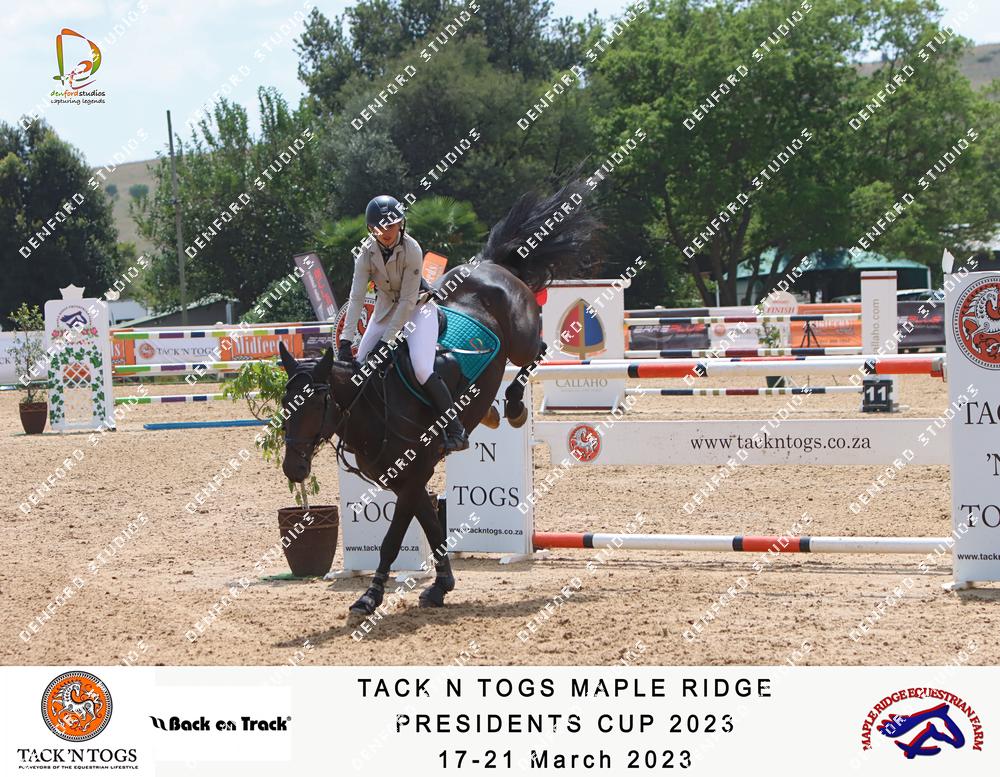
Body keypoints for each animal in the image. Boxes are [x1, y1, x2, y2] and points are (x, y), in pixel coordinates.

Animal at [278, 180, 598, 619]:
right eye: (285, 406)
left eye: (314, 406)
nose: (293, 469)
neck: (372, 406)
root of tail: (489, 265)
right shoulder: (407, 483)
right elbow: (431, 529)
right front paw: (440, 586)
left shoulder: (413, 477)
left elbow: (393, 541)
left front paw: (370, 596)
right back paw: (494, 414)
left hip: (520, 339)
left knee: (537, 351)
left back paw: (515, 406)